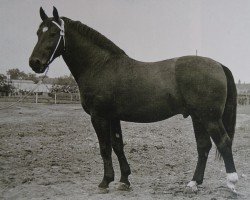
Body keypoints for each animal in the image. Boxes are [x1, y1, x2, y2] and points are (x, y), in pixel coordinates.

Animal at [29, 7, 238, 193]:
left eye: (53, 33)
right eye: (38, 32)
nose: (34, 63)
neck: (100, 65)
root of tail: (218, 65)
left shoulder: (99, 117)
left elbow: (105, 148)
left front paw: (105, 182)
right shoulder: (113, 117)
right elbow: (117, 145)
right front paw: (124, 181)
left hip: (210, 118)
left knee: (224, 143)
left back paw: (232, 183)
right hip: (198, 117)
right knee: (204, 146)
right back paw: (194, 183)